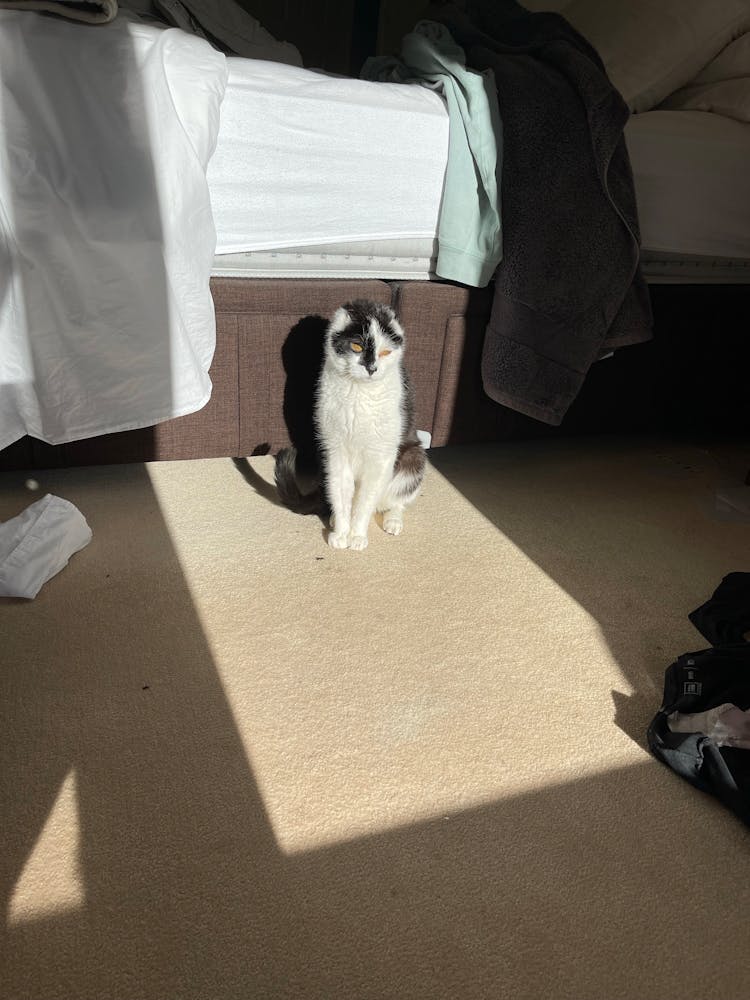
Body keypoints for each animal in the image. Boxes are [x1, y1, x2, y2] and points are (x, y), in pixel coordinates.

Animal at [276, 300, 428, 552]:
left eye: (385, 352)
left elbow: (364, 502)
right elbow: (340, 494)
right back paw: (333, 519)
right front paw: (341, 533)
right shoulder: (335, 451)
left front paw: (356, 536)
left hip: (413, 459)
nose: (371, 368)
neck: (359, 393)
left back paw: (393, 521)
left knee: (397, 500)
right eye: (356, 346)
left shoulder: (379, 456)